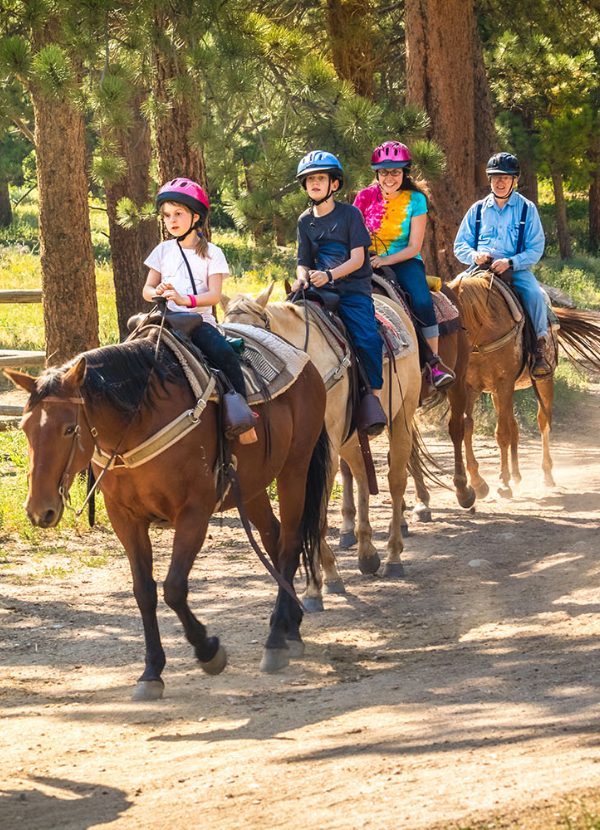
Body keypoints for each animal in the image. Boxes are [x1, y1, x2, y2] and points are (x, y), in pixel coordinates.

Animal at [3, 334, 328, 700]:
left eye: (69, 429)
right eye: (25, 427)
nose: (39, 509)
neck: (137, 423)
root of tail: (305, 362)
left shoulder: (194, 512)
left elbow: (173, 588)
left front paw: (208, 651)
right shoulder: (125, 518)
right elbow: (144, 591)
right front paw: (151, 672)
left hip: (294, 470)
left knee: (289, 545)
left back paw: (276, 640)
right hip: (253, 487)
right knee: (274, 539)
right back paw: (291, 627)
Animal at [220, 286, 422, 612]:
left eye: (253, 336)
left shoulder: (322, 453)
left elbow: (315, 516)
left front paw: (319, 584)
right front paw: (321, 582)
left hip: (402, 414)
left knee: (395, 481)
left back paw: (393, 556)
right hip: (350, 437)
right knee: (362, 475)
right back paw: (367, 552)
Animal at [448, 270, 600, 498]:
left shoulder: (504, 384)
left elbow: (501, 433)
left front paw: (503, 483)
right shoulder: (471, 388)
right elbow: (468, 427)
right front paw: (478, 482)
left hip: (543, 382)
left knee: (543, 421)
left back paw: (545, 475)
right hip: (497, 394)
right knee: (515, 426)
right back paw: (517, 475)